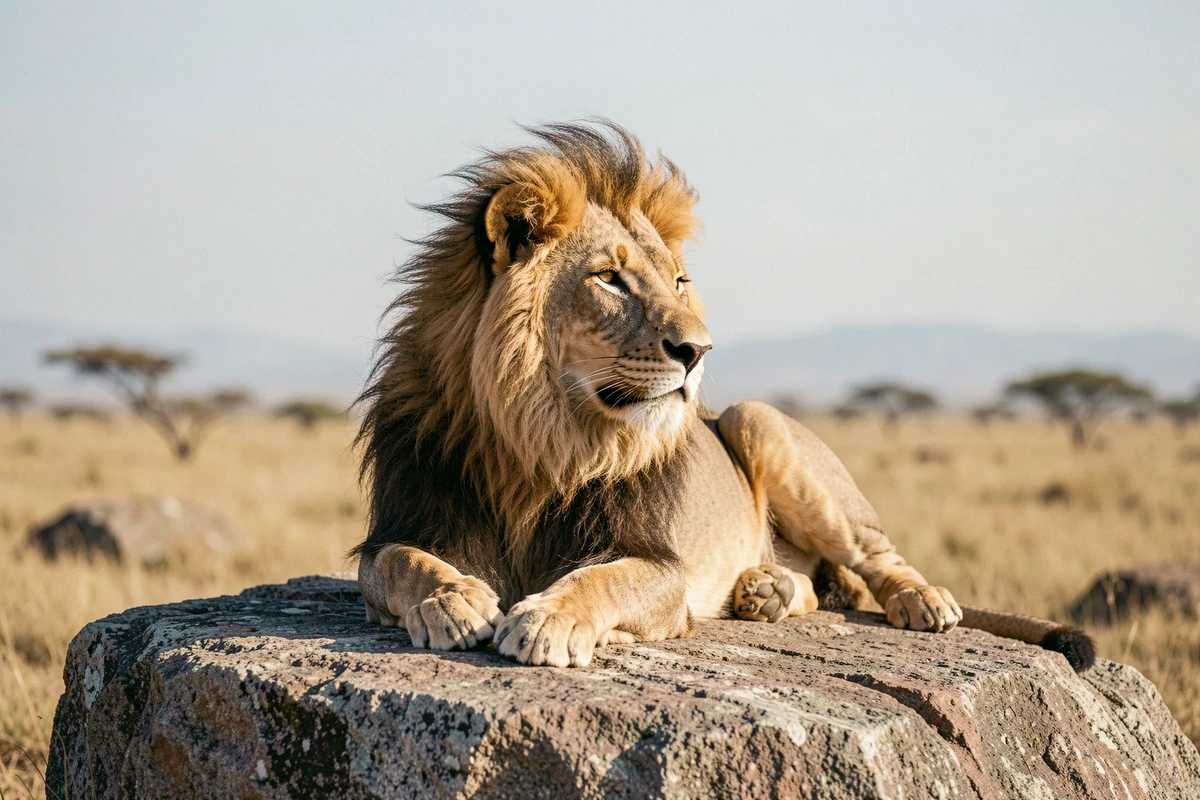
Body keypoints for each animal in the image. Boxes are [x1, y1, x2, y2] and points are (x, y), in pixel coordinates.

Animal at [353, 121, 1094, 673]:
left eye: (679, 282)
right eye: (611, 279)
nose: (699, 350)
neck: (542, 438)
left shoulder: (660, 564)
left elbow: (603, 579)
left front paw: (547, 619)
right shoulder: (402, 523)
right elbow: (397, 563)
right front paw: (455, 601)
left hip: (757, 422)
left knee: (875, 559)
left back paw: (920, 602)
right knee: (819, 590)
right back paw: (765, 591)